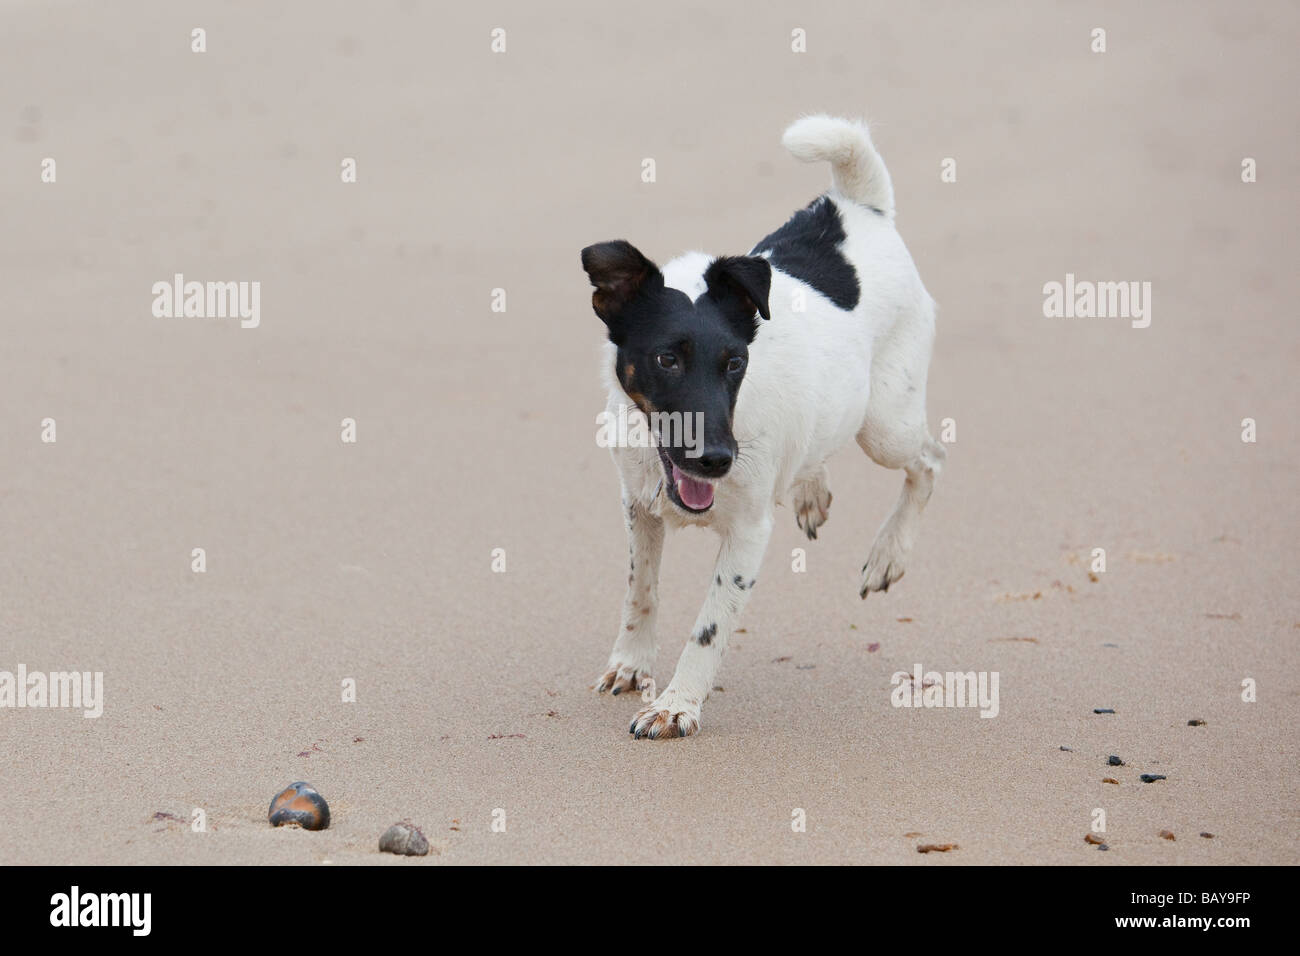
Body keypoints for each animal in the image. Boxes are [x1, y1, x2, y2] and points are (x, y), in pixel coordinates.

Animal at [579, 113, 946, 738]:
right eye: (666, 359)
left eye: (735, 363)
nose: (716, 460)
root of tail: (855, 208)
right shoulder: (638, 506)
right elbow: (641, 592)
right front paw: (630, 664)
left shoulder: (748, 535)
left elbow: (708, 629)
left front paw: (677, 704)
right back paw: (810, 490)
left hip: (885, 422)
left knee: (929, 461)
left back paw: (888, 554)